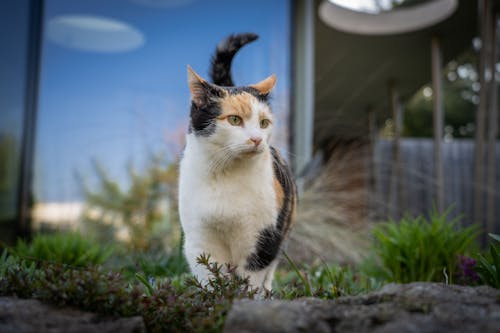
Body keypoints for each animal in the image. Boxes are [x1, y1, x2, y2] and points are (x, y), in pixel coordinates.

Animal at [179, 32, 296, 290]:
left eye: (264, 123)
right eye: (234, 120)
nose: (256, 139)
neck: (225, 174)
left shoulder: (263, 240)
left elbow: (251, 283)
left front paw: (244, 300)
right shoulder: (200, 242)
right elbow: (211, 279)